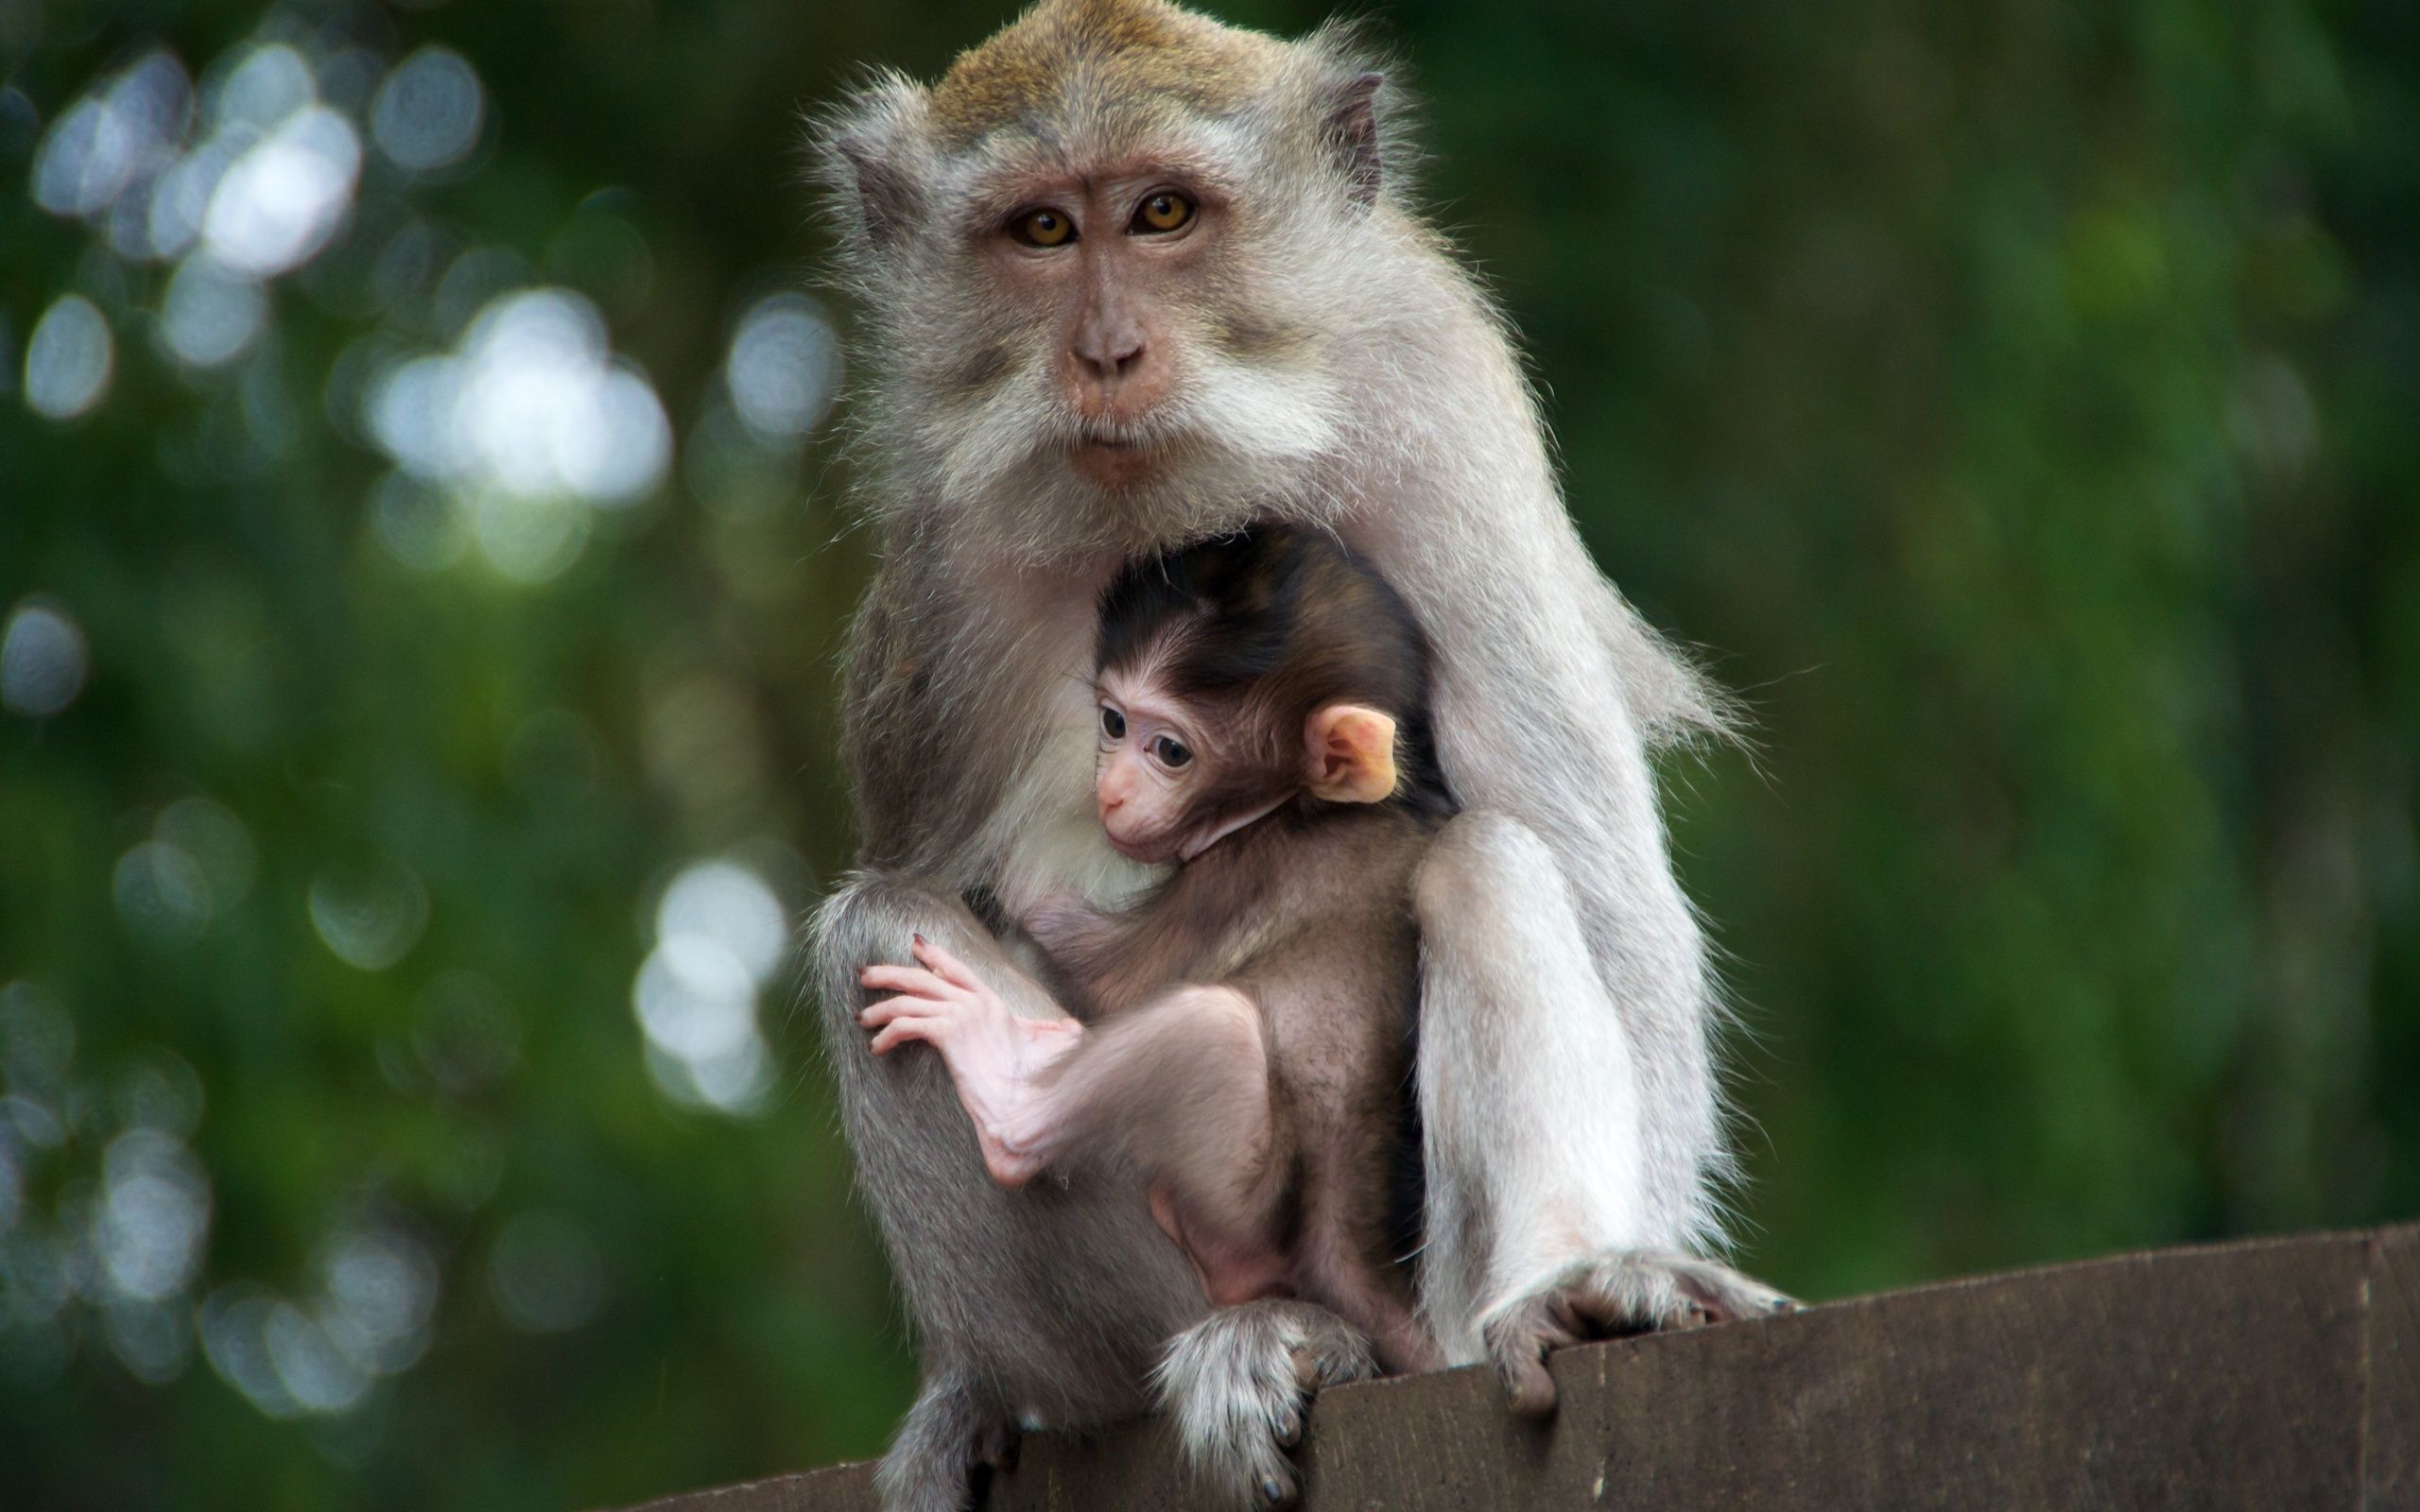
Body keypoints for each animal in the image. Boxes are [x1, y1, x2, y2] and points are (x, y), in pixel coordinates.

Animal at [861, 524, 1442, 1374]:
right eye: (1113, 724)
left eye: (1170, 751)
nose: (1111, 793)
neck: (1302, 807)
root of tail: (1348, 1259)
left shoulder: (1239, 875)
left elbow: (1117, 981)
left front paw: (1016, 875)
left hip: (1240, 1217)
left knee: (1210, 1026)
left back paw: (1007, 1085)